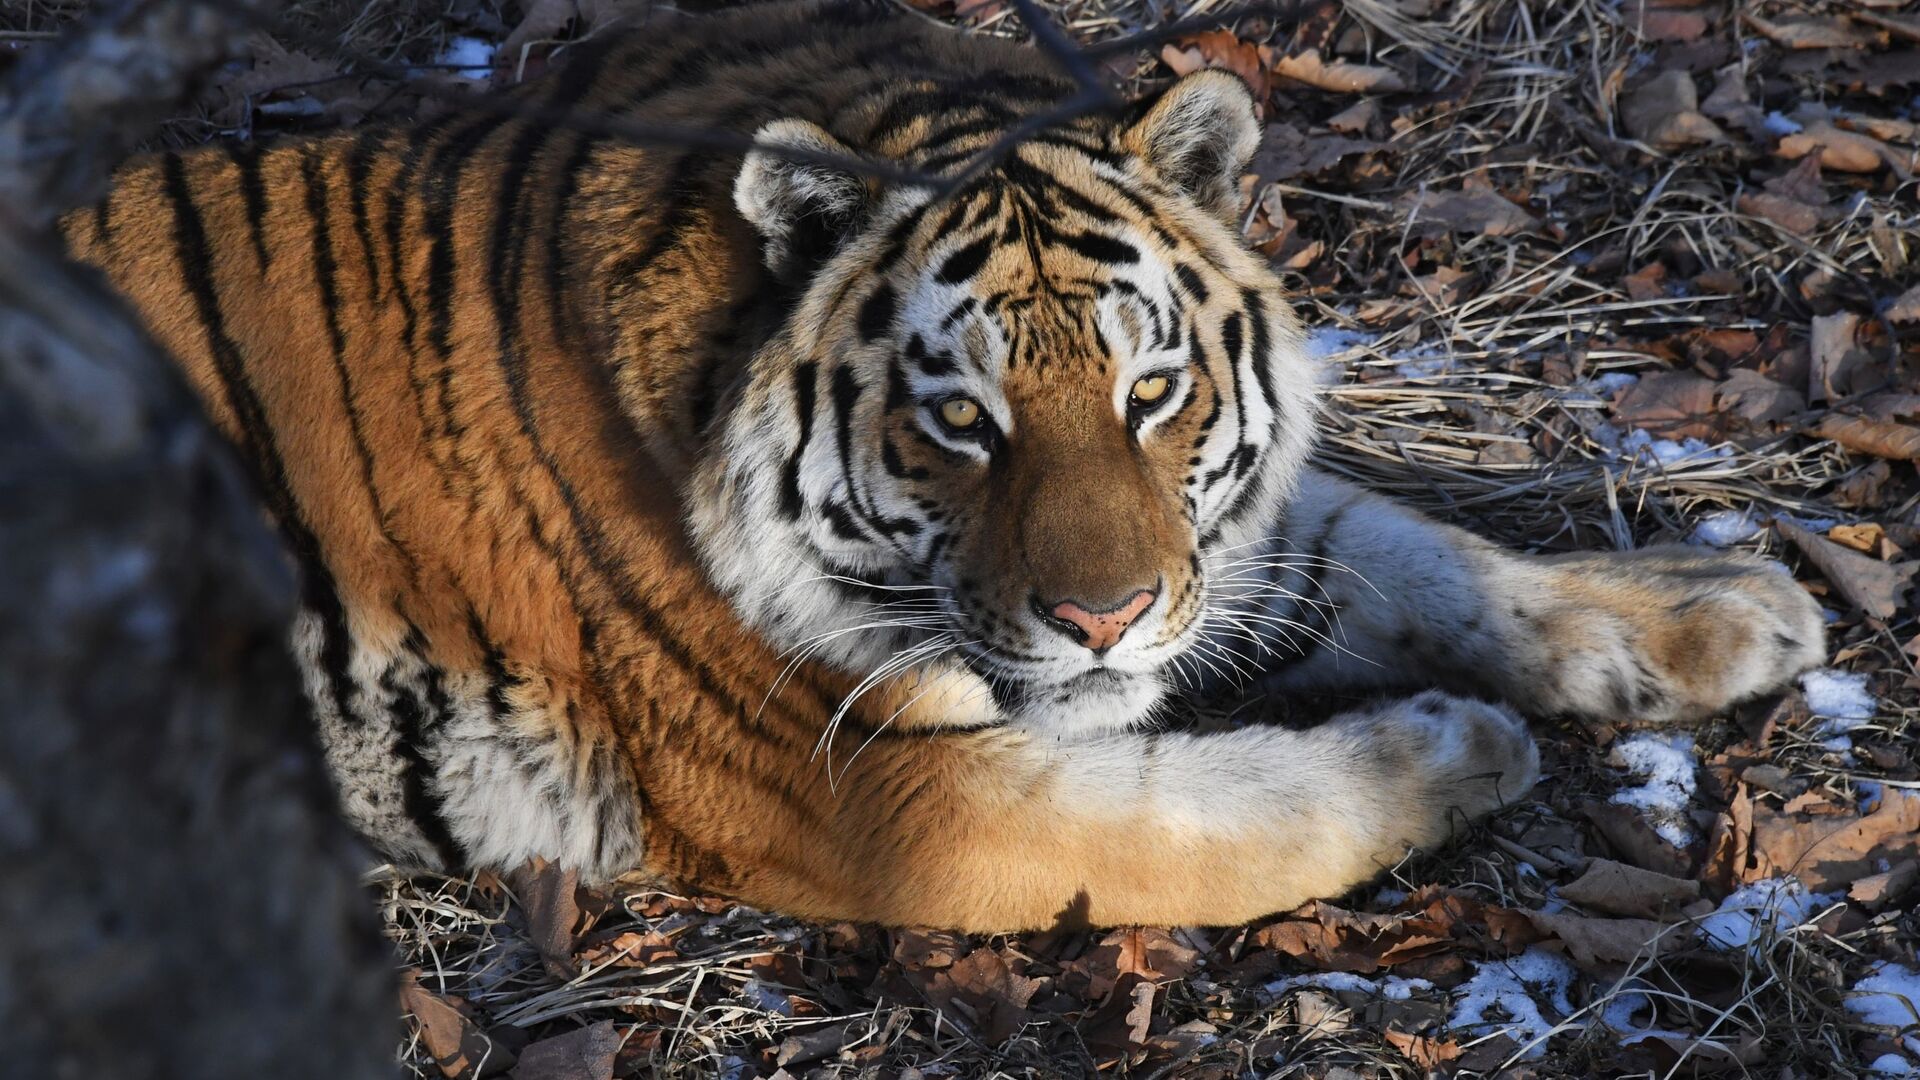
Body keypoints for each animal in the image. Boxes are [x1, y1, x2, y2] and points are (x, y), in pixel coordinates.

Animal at [63, 0, 1827, 926]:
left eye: (1151, 391)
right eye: (962, 420)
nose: (1106, 621)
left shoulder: (1216, 549)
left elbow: (1416, 553)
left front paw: (1725, 610)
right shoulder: (893, 791)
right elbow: (1227, 817)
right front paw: (1453, 749)